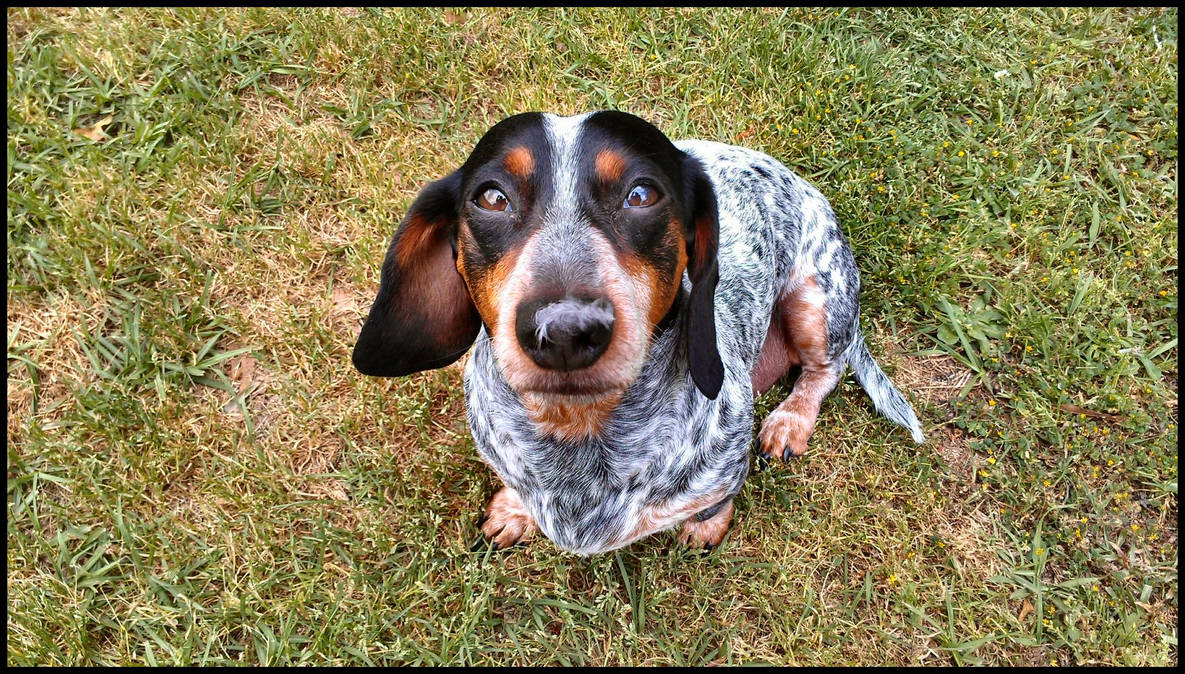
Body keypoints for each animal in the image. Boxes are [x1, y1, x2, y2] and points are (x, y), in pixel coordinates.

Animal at [350, 108, 924, 551]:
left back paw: (790, 421)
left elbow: (718, 497)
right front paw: (514, 508)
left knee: (825, 369)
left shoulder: (726, 464)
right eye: (491, 197)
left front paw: (706, 526)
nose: (565, 331)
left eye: (642, 194)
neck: (578, 429)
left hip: (817, 302)